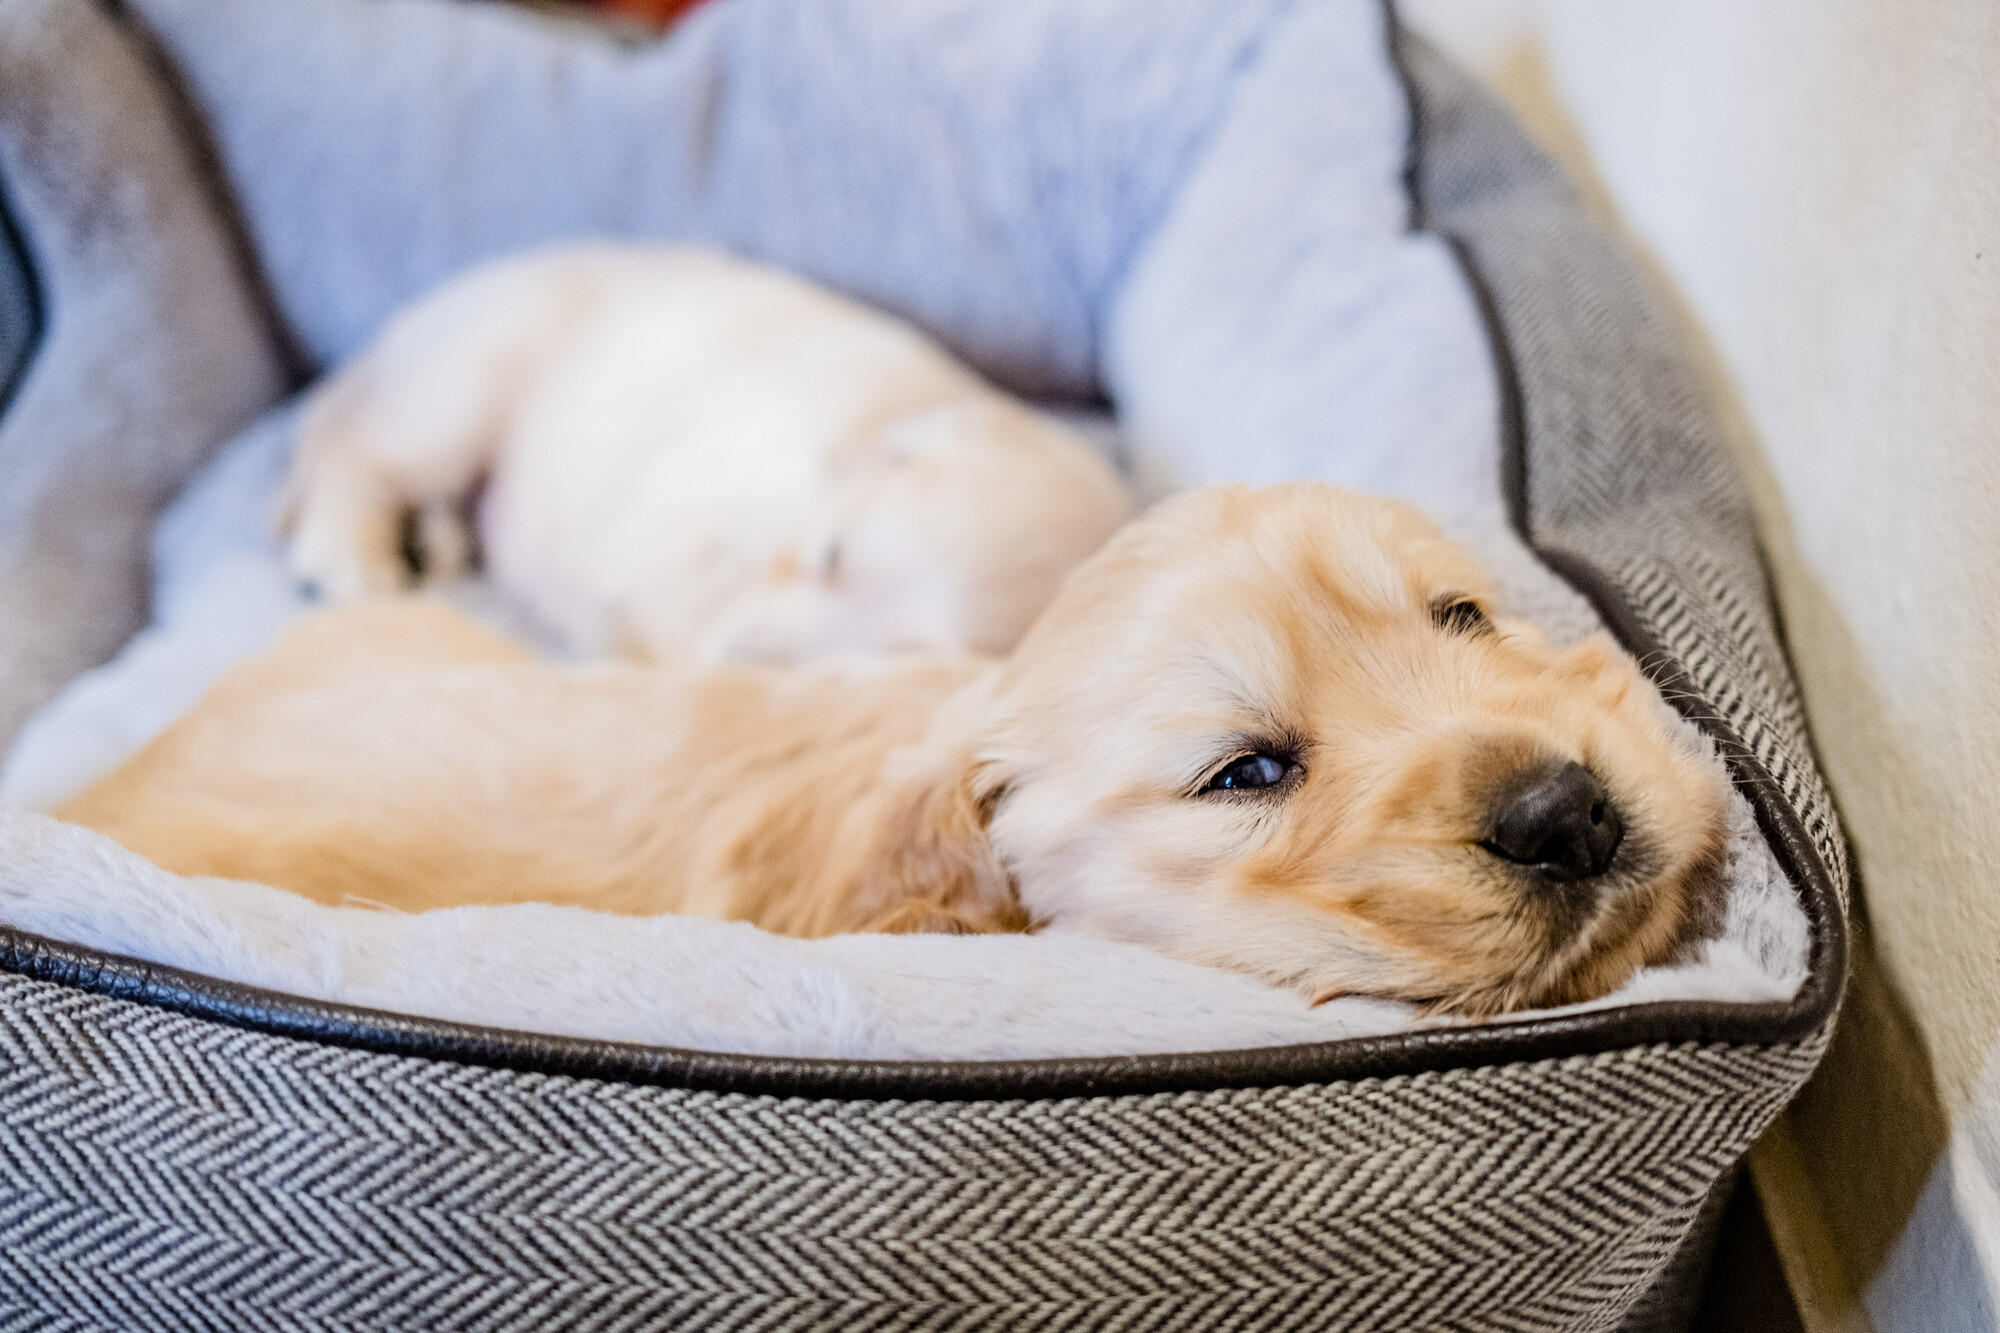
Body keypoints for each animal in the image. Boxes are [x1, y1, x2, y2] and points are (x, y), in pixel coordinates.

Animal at [290, 241, 1152, 660]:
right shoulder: (737, 469)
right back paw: (351, 550)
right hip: (467, 384)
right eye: (830, 556)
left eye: (894, 657)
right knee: (361, 455)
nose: (745, 657)